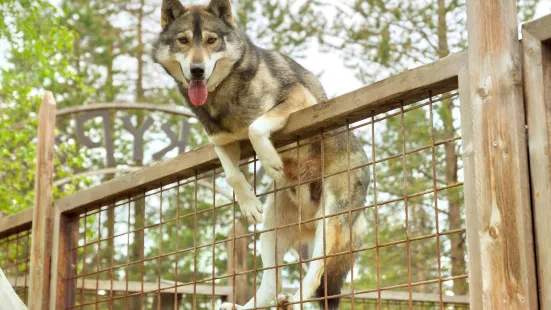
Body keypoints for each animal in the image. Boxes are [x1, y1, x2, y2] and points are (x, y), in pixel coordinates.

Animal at [152, 0, 370, 308]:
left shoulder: (299, 100)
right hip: (271, 232)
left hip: (331, 223)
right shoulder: (220, 140)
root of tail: (309, 219)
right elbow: (231, 174)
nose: (197, 71)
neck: (224, 95)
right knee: (269, 283)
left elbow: (256, 128)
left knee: (316, 275)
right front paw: (248, 204)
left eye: (211, 40)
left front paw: (271, 162)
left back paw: (296, 299)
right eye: (183, 41)